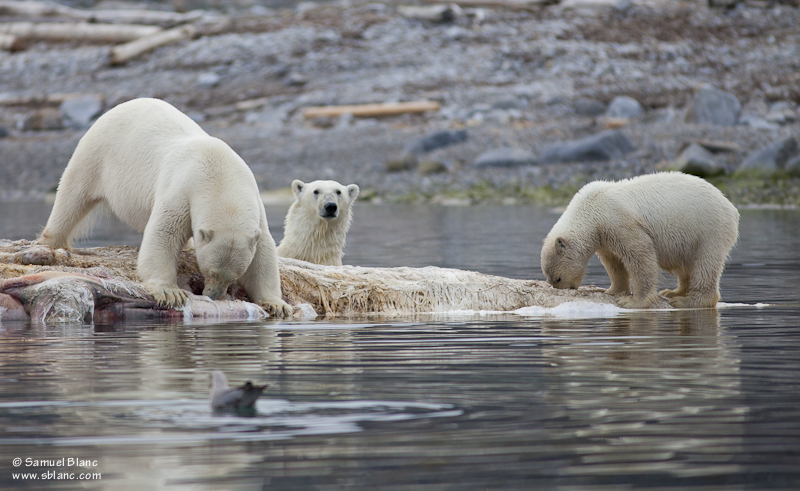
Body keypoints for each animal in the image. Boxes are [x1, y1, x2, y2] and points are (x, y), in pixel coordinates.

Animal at [37, 98, 292, 318]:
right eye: (210, 271)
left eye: (234, 277)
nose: (213, 295)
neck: (220, 173)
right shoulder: (182, 189)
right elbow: (164, 233)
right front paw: (171, 292)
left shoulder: (255, 205)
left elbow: (264, 252)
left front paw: (277, 305)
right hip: (96, 154)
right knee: (72, 196)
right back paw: (52, 240)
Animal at [540, 173, 740, 310]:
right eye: (551, 279)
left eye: (557, 278)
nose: (567, 288)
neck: (589, 208)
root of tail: (730, 207)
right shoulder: (604, 236)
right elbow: (614, 263)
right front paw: (611, 291)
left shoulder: (617, 220)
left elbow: (640, 254)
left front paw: (632, 301)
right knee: (686, 265)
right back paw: (673, 291)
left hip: (708, 230)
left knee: (704, 264)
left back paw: (685, 300)